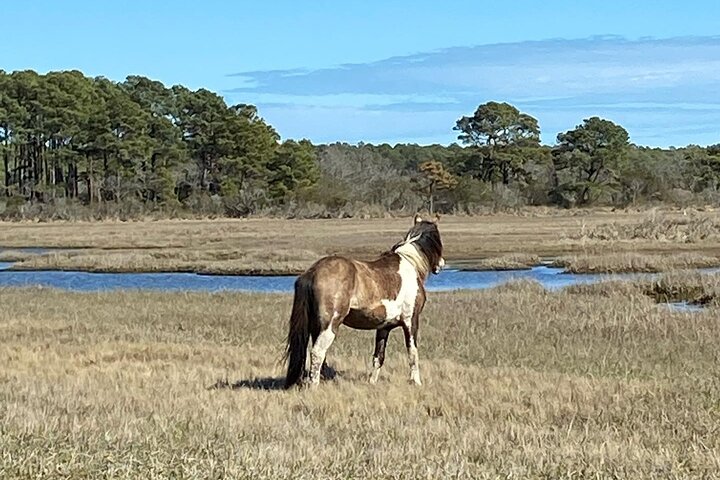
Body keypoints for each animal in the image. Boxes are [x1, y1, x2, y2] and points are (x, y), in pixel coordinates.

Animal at [284, 214, 444, 388]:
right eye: (439, 237)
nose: (441, 264)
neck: (410, 265)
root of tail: (312, 272)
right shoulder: (411, 321)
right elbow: (413, 353)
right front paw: (416, 382)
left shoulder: (384, 327)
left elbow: (379, 356)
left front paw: (372, 382)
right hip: (329, 325)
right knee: (318, 352)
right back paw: (314, 386)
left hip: (315, 326)